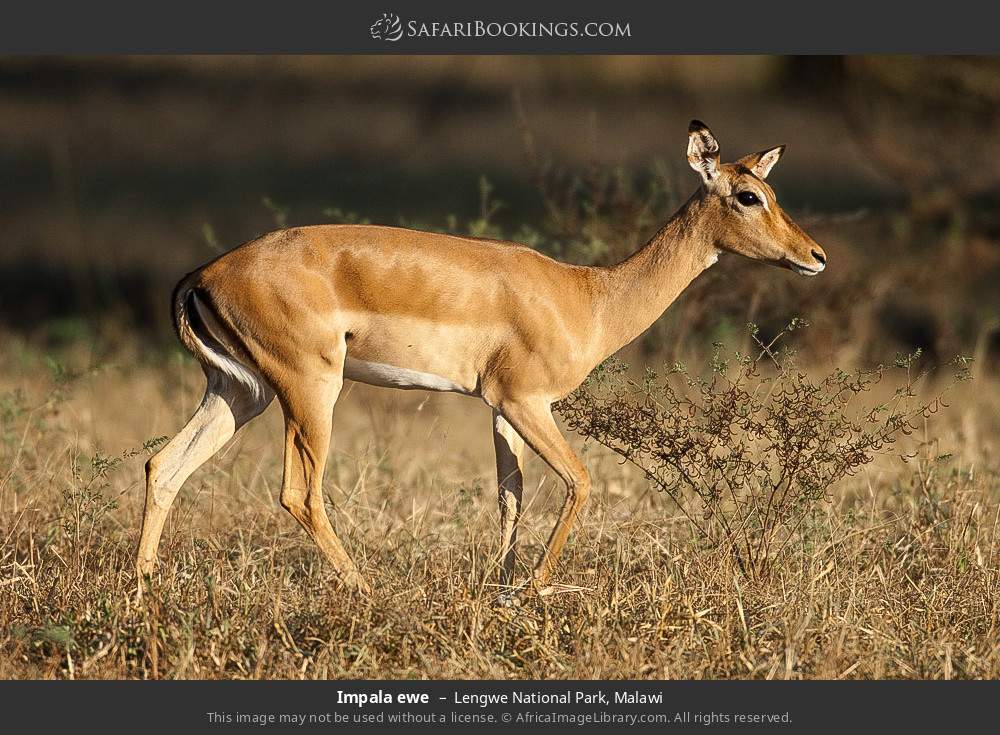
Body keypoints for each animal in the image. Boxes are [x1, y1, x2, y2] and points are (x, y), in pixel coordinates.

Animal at [135, 120, 827, 598]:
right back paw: (369, 592)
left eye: (769, 189)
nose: (816, 256)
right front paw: (532, 591)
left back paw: (141, 599)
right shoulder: (524, 402)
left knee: (164, 466)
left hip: (239, 391)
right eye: (746, 195)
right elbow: (580, 481)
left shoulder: (502, 410)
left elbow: (510, 496)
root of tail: (205, 273)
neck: (589, 296)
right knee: (298, 494)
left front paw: (502, 591)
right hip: (308, 390)